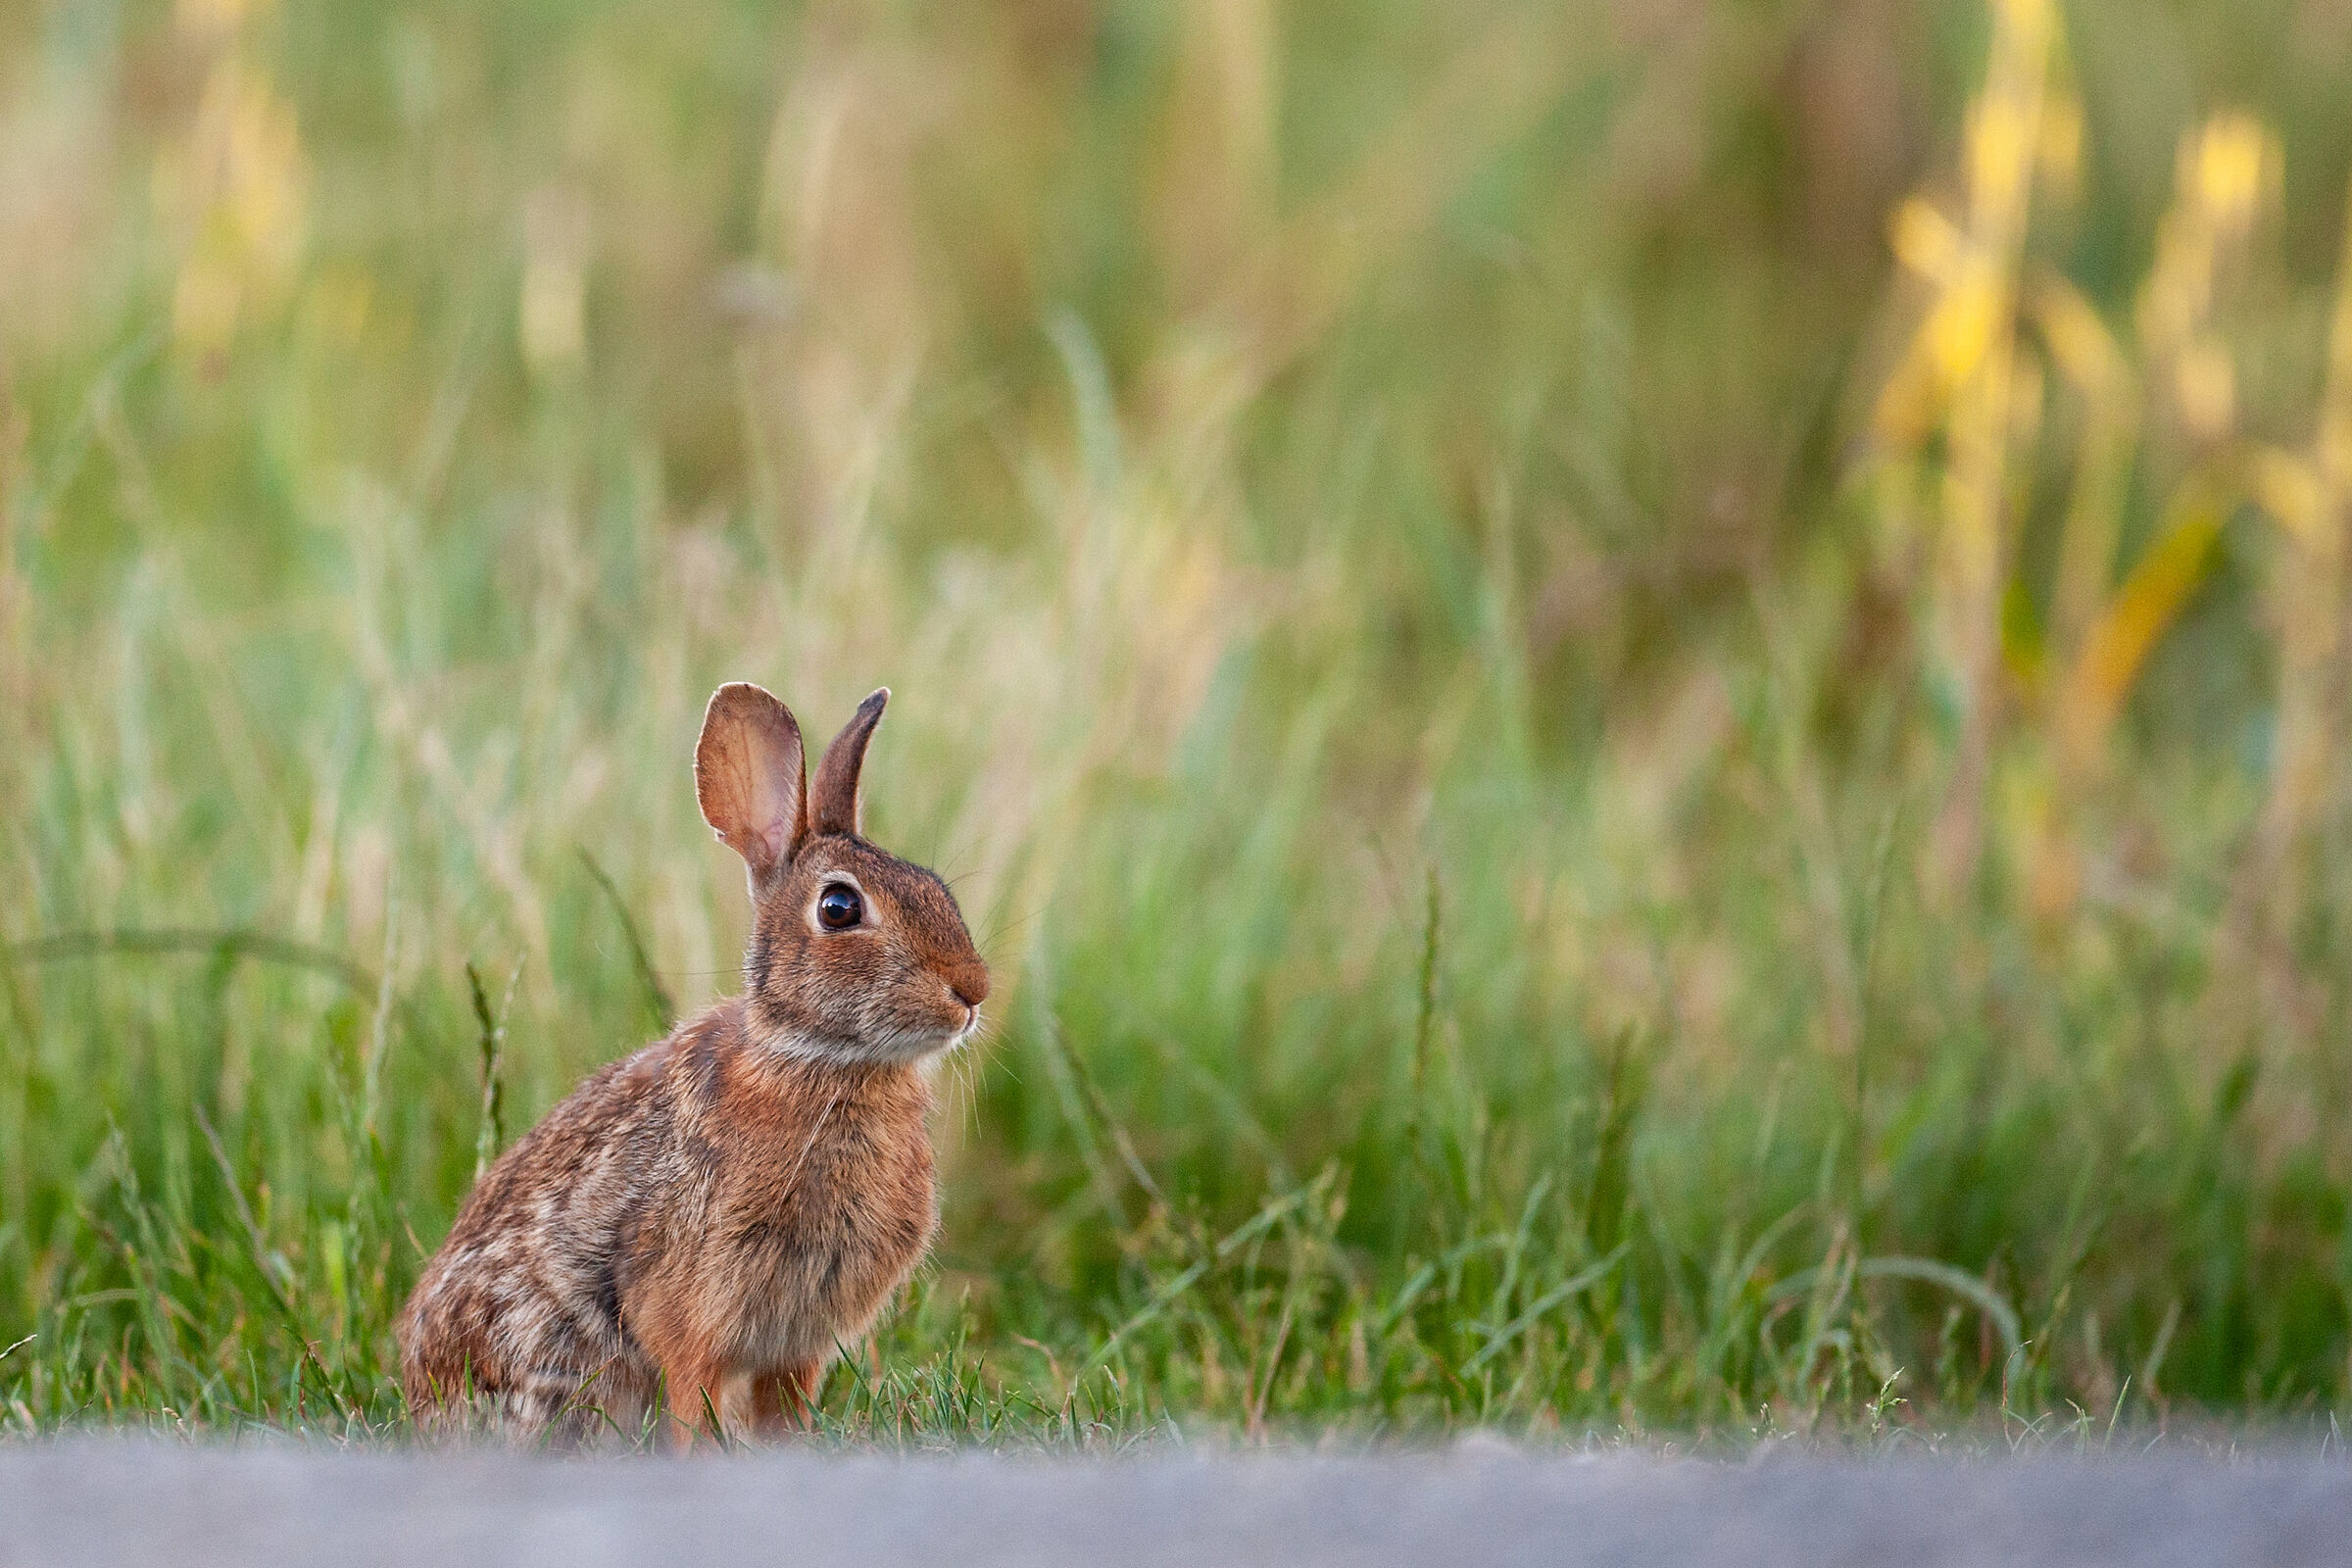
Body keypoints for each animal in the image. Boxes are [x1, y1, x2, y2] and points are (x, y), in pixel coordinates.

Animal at [397, 683, 989, 1445]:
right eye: (838, 908)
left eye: (936, 886)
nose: (972, 991)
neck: (824, 1064)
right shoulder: (692, 1316)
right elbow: (692, 1404)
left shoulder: (796, 1347)